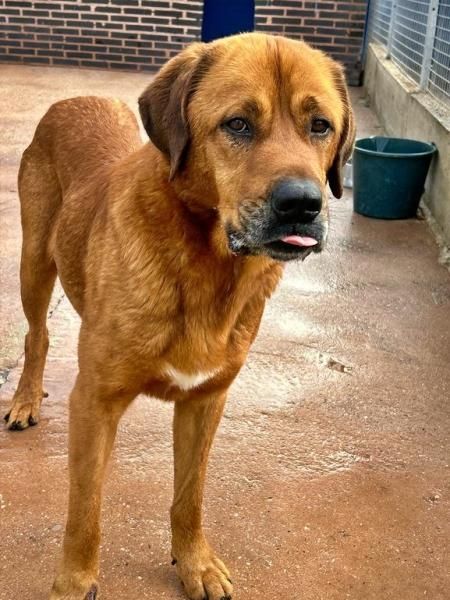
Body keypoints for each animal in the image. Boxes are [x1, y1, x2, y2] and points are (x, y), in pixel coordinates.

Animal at [4, 32, 355, 599]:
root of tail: (76, 97)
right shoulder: (95, 400)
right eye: (238, 124)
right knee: (37, 336)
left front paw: (195, 565)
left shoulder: (205, 402)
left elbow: (189, 495)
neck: (207, 268)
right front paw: (74, 583)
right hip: (35, 261)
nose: (303, 204)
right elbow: (85, 512)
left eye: (320, 125)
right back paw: (24, 400)